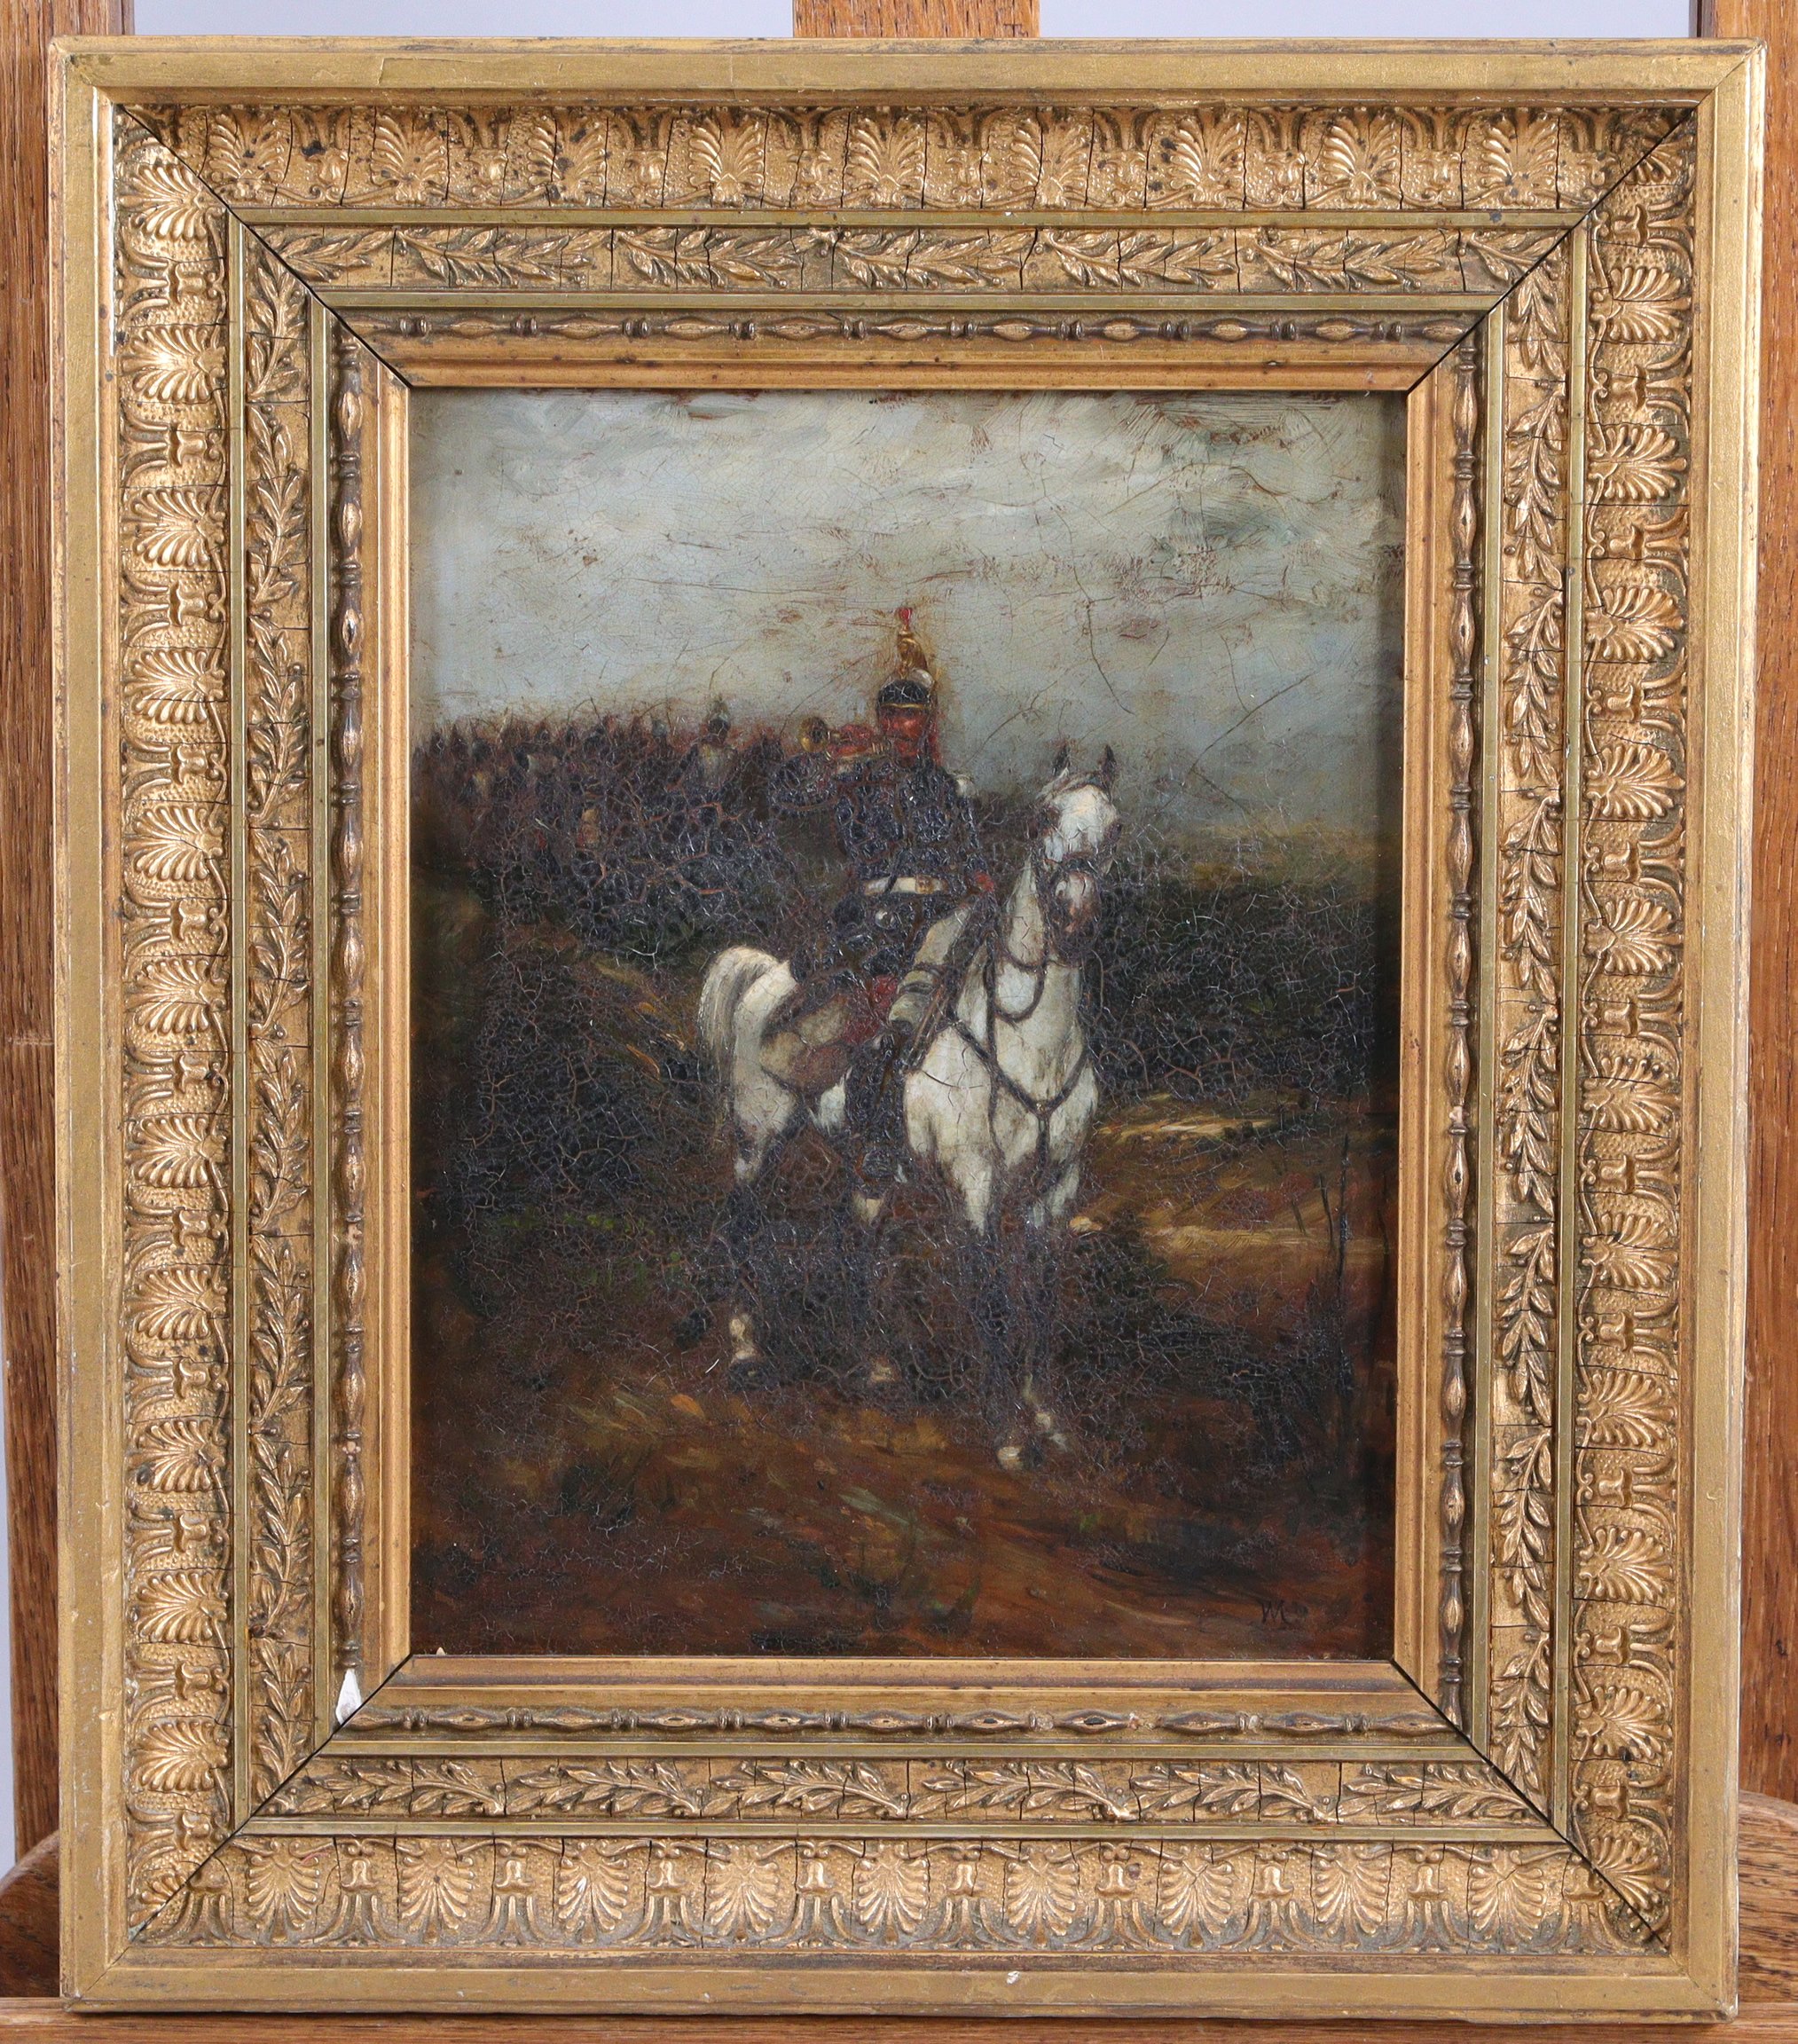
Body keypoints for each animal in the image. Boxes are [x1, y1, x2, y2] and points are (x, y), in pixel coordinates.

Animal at [696, 753, 1121, 1465]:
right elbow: (990, 1296)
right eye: (1042, 820)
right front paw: (1009, 1434)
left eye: (1114, 829)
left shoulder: (1056, 1186)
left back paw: (875, 1366)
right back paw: (747, 1353)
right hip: (759, 1137)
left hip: (866, 1165)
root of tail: (767, 975)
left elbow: (1039, 1296)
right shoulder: (975, 1183)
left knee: (855, 1239)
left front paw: (1048, 1417)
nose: (1075, 916)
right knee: (742, 1225)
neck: (1031, 1040)